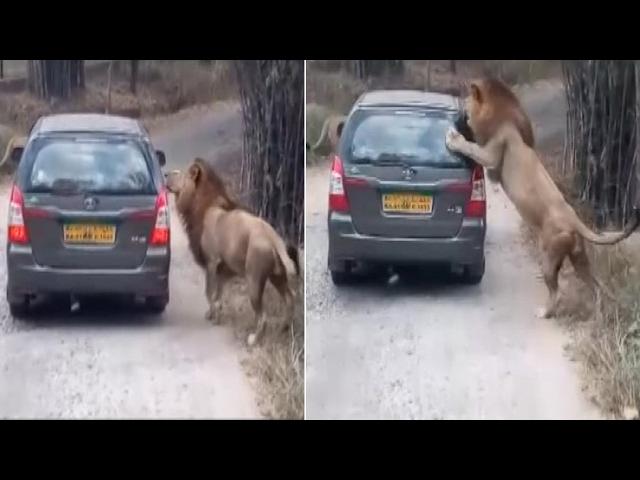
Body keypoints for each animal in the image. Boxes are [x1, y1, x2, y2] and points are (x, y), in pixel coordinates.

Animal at [162, 158, 298, 344]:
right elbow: (218, 294)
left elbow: (209, 293)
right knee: (290, 299)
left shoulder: (212, 262)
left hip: (254, 278)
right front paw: (214, 312)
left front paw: (213, 315)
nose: (166, 174)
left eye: (180, 174)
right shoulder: (223, 269)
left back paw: (254, 339)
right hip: (277, 276)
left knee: (263, 316)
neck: (202, 205)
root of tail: (272, 235)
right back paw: (284, 328)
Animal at [444, 77, 640, 320]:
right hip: (579, 258)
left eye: (467, 103)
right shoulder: (495, 169)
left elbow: (471, 148)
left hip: (549, 254)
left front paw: (454, 138)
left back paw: (545, 312)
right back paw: (599, 312)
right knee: (595, 285)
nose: (460, 115)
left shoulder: (493, 152)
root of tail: (574, 219)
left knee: (556, 290)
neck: (501, 114)